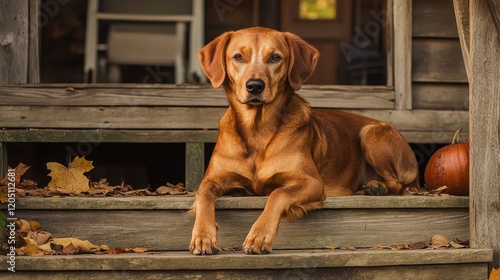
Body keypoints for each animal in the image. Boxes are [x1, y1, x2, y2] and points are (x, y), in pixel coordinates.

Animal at [189, 27, 420, 255]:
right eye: (238, 57)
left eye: (275, 57)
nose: (255, 86)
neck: (257, 130)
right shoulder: (211, 180)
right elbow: (204, 196)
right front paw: (203, 236)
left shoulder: (312, 182)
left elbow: (278, 193)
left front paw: (259, 235)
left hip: (369, 133)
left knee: (397, 184)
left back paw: (377, 186)